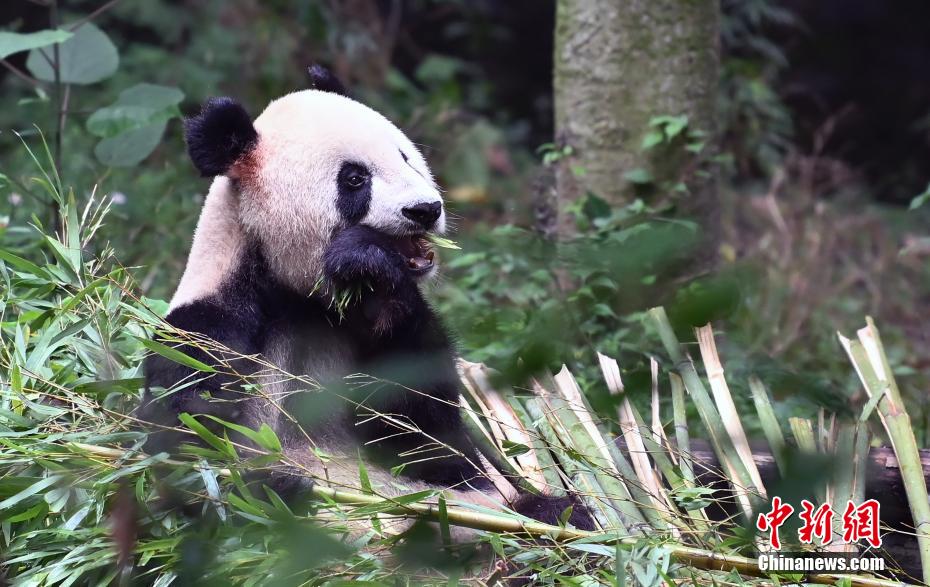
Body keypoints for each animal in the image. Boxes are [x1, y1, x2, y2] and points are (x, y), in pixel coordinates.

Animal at [141, 65, 592, 544]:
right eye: (355, 179)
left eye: (406, 157)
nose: (425, 209)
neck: (297, 291)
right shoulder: (214, 323)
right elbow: (184, 442)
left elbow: (424, 428)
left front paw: (369, 268)